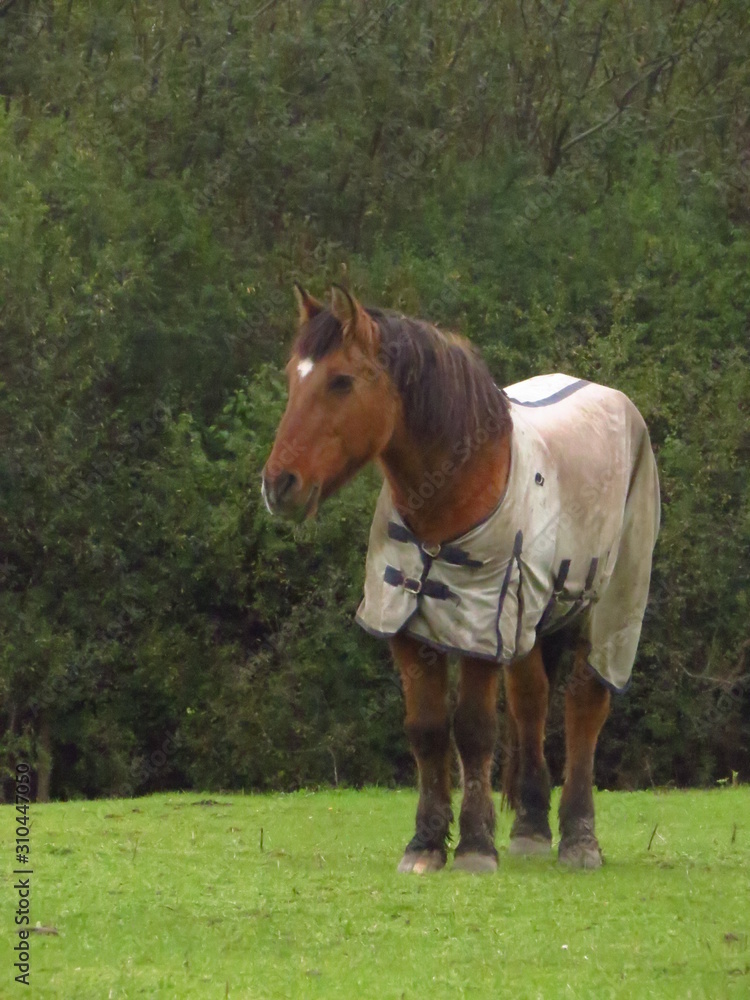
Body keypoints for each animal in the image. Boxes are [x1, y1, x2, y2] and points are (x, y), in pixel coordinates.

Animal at [262, 284, 660, 873]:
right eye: (294, 376)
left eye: (341, 381)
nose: (278, 485)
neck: (452, 494)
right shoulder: (405, 625)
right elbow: (427, 731)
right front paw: (425, 845)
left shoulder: (480, 628)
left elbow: (474, 732)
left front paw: (474, 846)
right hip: (529, 622)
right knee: (531, 701)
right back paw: (531, 831)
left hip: (609, 609)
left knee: (585, 708)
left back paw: (579, 839)